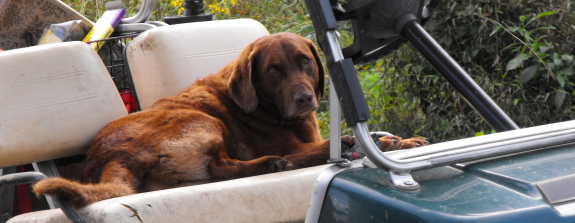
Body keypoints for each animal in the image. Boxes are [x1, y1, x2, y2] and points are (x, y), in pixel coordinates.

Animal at [32, 32, 428, 207]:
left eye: (304, 61)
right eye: (272, 71)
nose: (304, 98)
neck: (265, 108)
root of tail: (111, 158)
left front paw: (403, 141)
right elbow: (317, 145)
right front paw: (369, 141)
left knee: (218, 169)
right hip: (201, 121)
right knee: (223, 167)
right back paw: (276, 162)